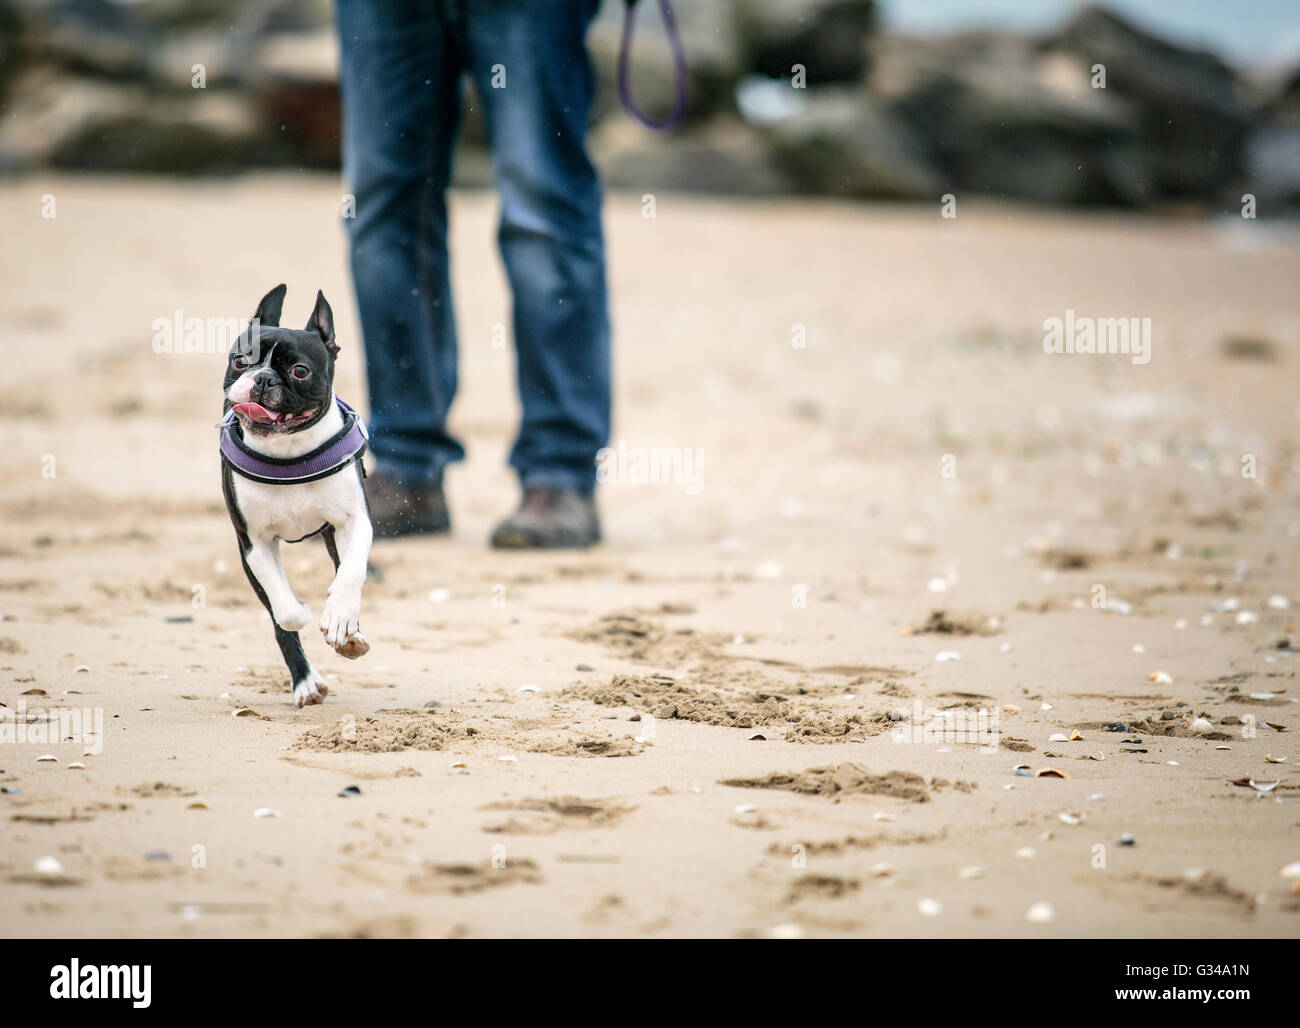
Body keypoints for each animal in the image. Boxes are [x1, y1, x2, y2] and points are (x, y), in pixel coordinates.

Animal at [220, 285, 374, 712]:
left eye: (300, 371)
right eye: (240, 361)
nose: (262, 378)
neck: (289, 454)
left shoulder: (353, 521)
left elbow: (350, 573)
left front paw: (340, 618)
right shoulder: (253, 544)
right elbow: (285, 613)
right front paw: (303, 612)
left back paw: (350, 633)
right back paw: (306, 683)